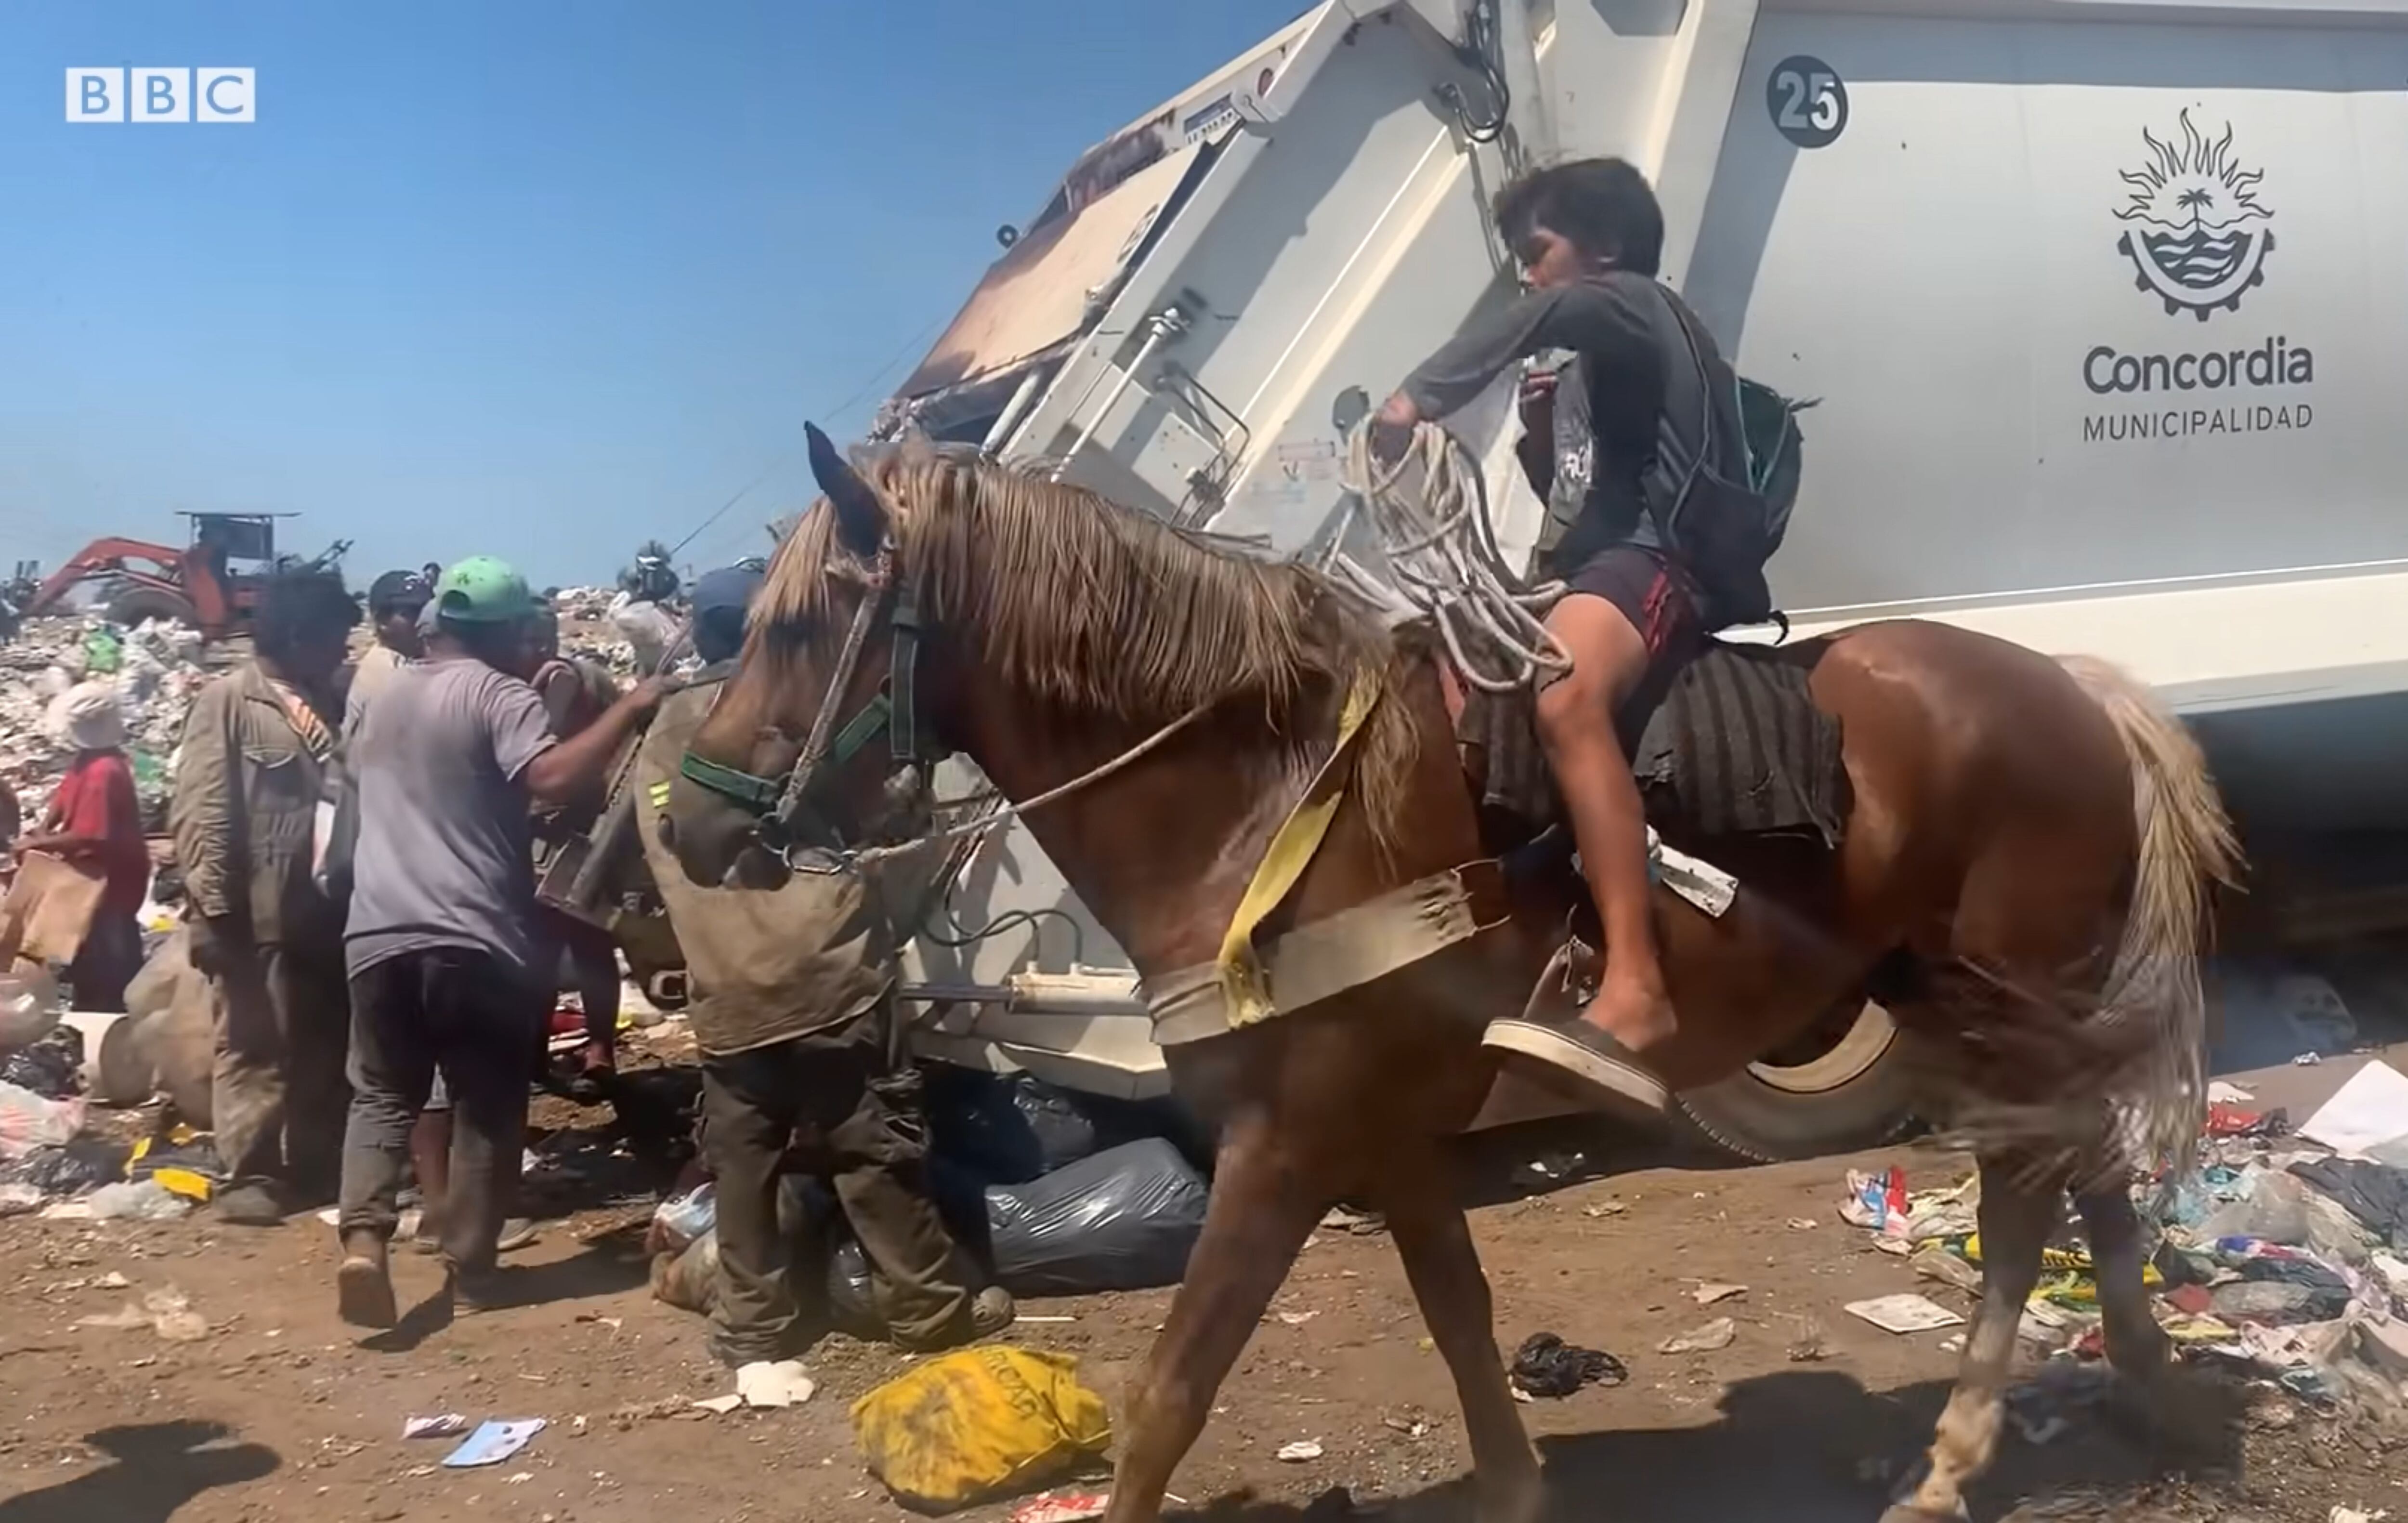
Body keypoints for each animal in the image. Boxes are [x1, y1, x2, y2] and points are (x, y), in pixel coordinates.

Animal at [665, 429, 2235, 1523]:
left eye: (793, 626)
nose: (684, 826)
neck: (1254, 800)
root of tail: (2073, 686)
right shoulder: (1389, 1133)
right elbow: (1461, 1316)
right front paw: (1515, 1483)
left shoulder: (1285, 1142)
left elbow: (1170, 1387)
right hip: (1971, 1000)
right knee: (2085, 1179)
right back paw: (2144, 1397)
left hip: (2008, 1001)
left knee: (2030, 1200)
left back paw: (1962, 1456)